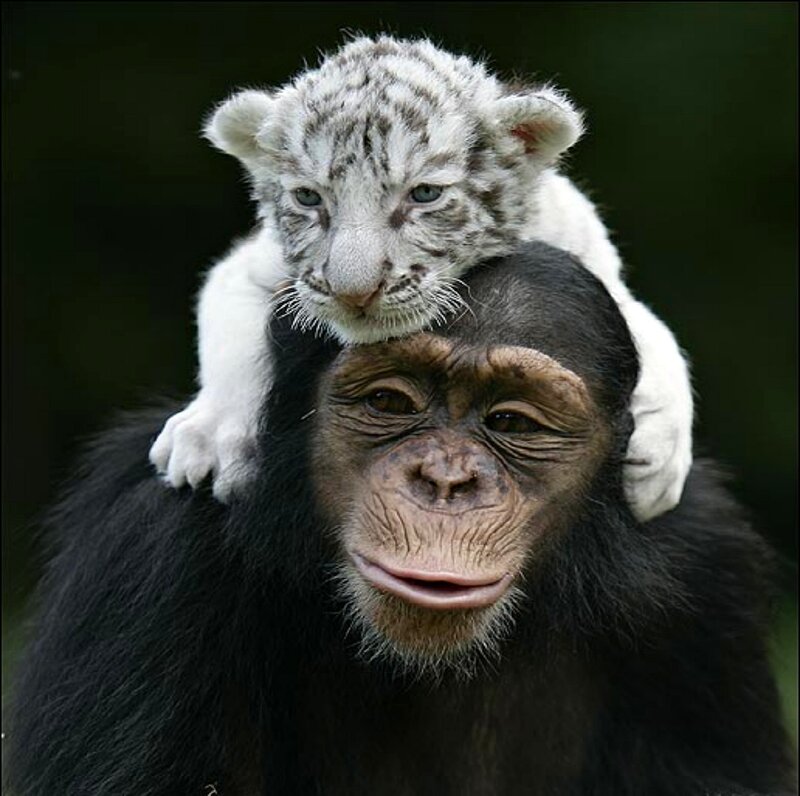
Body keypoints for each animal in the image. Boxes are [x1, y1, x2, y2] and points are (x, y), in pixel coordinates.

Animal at [148, 34, 693, 523]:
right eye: (308, 198)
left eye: (425, 194)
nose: (353, 291)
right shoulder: (251, 268)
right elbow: (231, 338)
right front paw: (208, 439)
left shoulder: (595, 266)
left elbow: (659, 339)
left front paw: (657, 468)